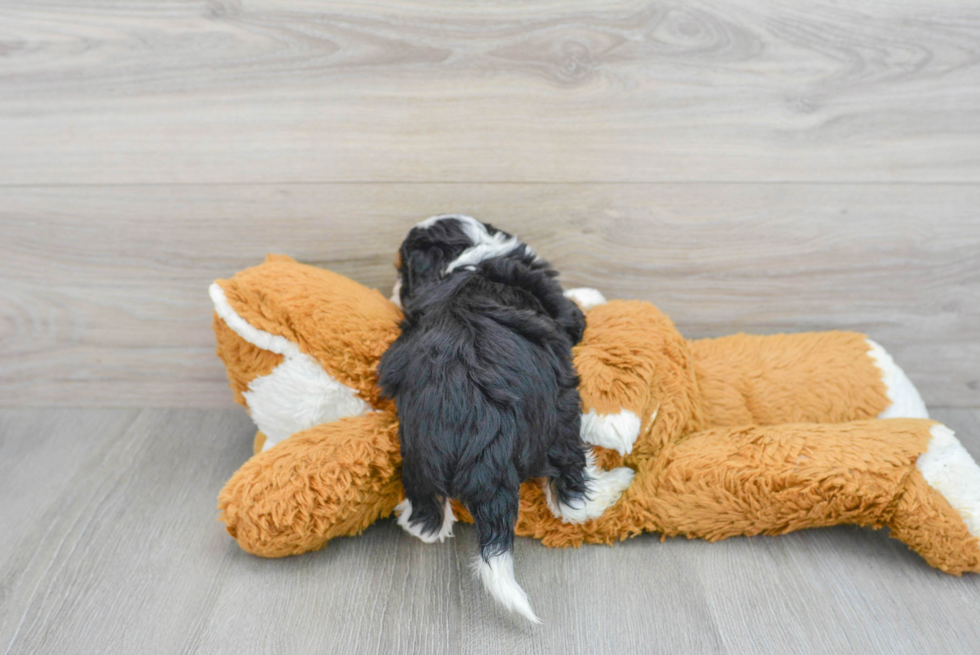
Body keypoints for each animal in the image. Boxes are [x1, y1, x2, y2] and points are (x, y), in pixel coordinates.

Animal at [378, 217, 636, 624]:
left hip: (418, 452)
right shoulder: (558, 306)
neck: (469, 259)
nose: (392, 291)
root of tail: (482, 438)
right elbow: (576, 313)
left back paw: (417, 518)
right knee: (570, 498)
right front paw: (592, 294)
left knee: (426, 514)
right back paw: (617, 482)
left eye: (403, 272)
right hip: (560, 417)